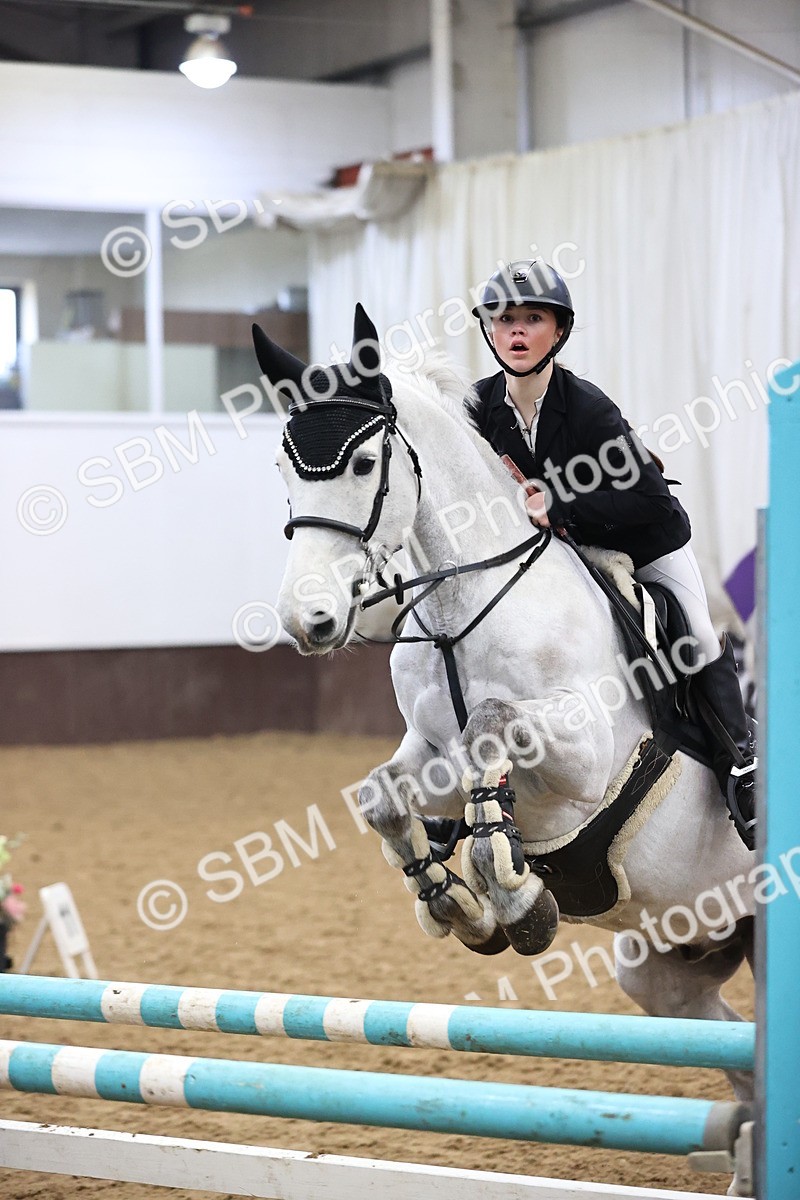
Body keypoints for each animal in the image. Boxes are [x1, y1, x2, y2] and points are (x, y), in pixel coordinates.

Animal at [253, 305, 756, 1128]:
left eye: (363, 465)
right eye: (282, 470)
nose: (308, 620)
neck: (467, 600)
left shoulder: (588, 759)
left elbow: (490, 721)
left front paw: (513, 895)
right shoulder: (430, 750)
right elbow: (382, 794)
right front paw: (455, 903)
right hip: (680, 951)